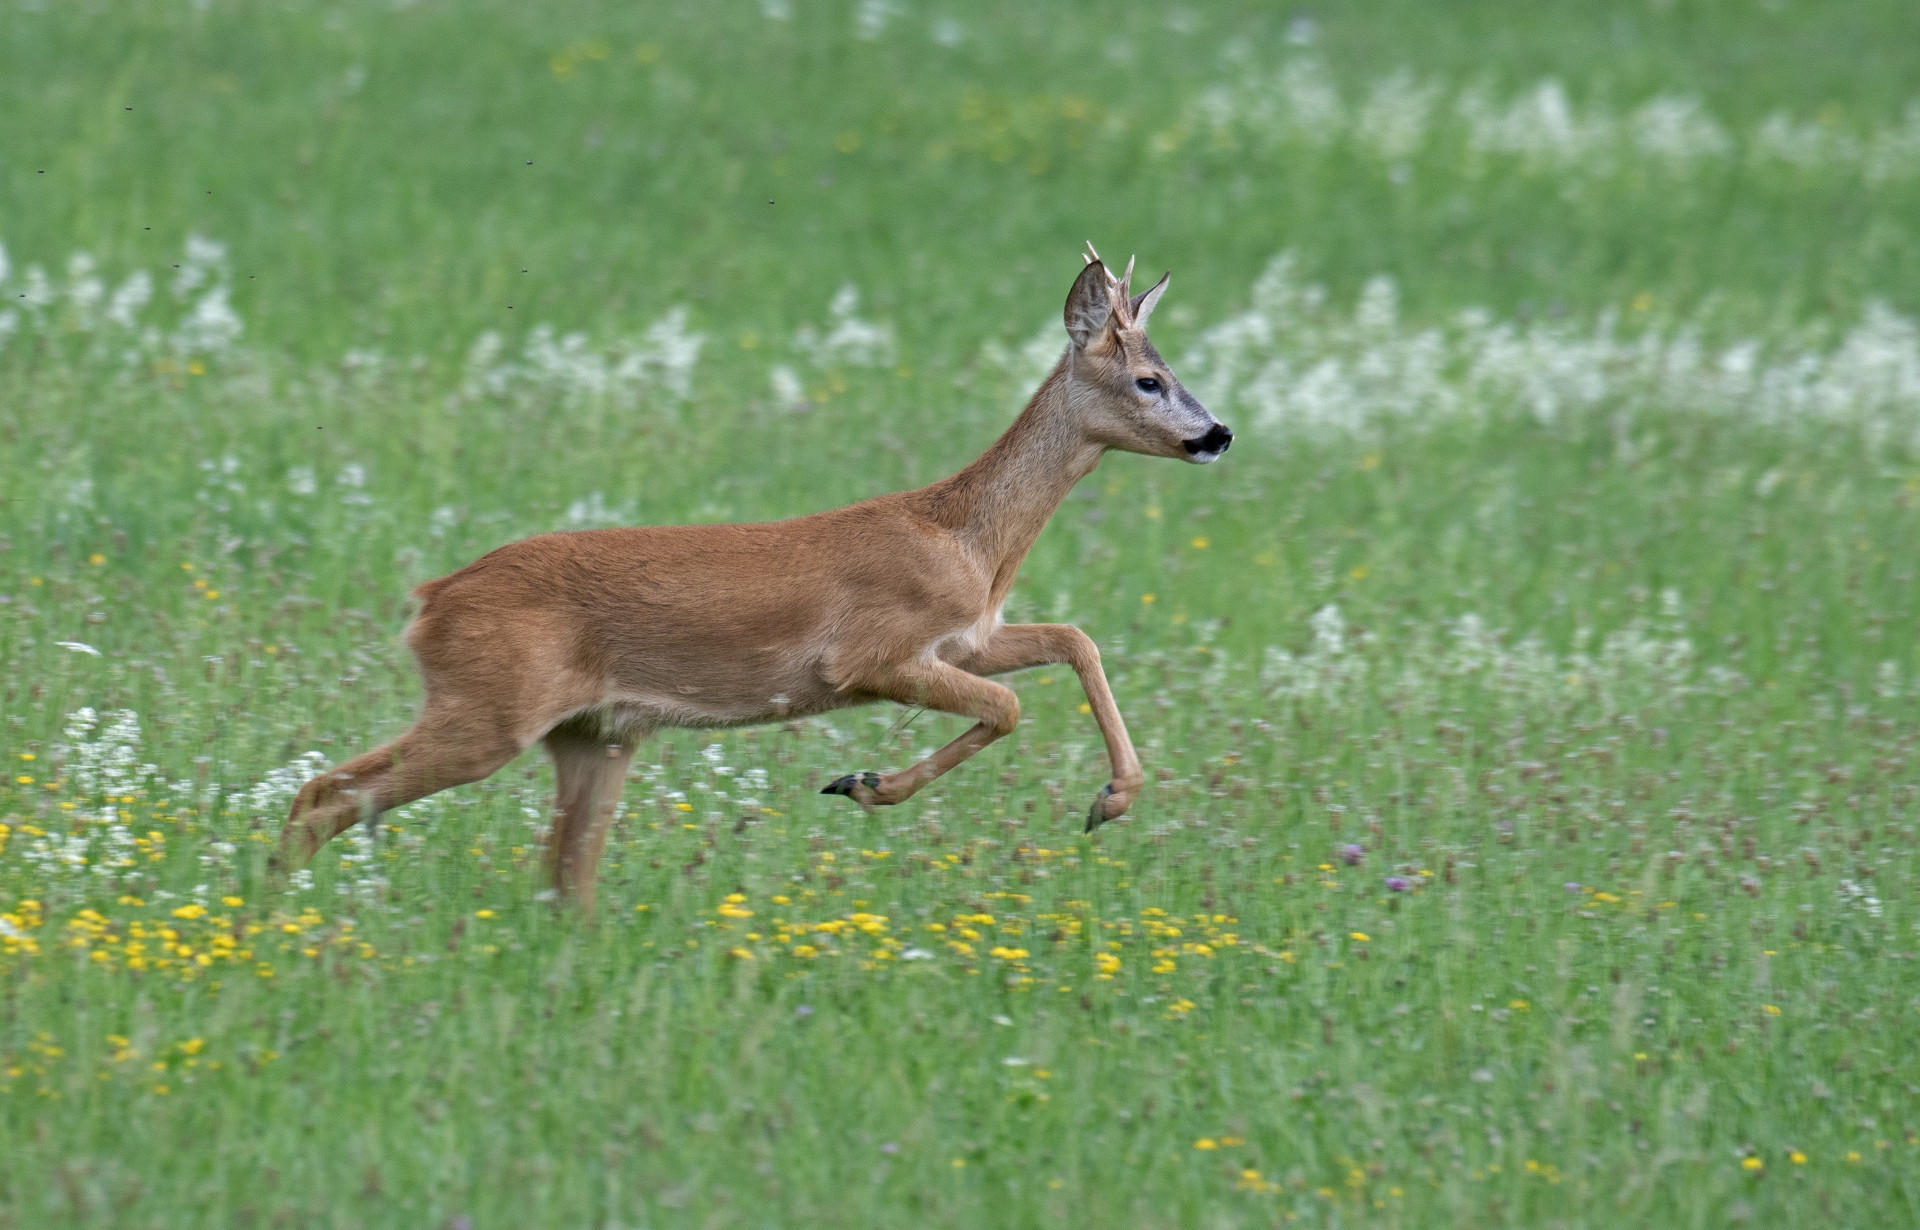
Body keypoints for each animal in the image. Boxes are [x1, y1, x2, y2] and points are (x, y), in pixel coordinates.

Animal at [278, 247, 1236, 901]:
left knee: (561, 876)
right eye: (1148, 380)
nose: (1218, 433)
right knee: (324, 792)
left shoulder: (967, 638)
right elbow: (1007, 706)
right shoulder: (869, 655)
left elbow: (1075, 639)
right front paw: (864, 785)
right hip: (489, 709)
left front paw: (1111, 799)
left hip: (592, 733)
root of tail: (429, 602)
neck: (968, 539)